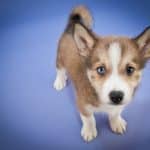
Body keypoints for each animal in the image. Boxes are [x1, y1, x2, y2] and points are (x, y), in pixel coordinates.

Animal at [53, 5, 149, 142]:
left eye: (130, 69)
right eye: (100, 69)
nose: (116, 96)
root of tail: (72, 24)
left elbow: (116, 112)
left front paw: (116, 122)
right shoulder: (82, 104)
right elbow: (89, 118)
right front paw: (89, 131)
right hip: (60, 58)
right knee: (59, 69)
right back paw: (59, 81)